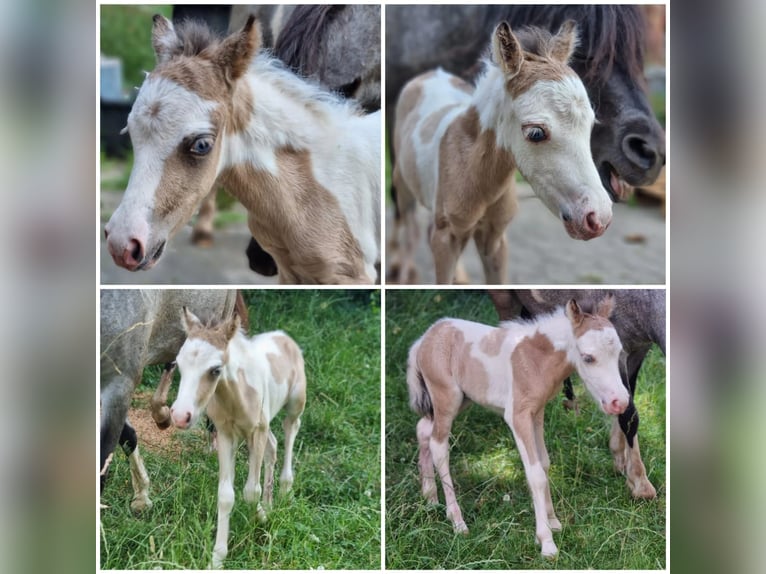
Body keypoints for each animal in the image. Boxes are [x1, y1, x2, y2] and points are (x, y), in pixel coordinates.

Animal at [172, 308, 308, 568]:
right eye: (178, 365)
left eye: (215, 370)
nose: (180, 416)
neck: (234, 397)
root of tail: (284, 336)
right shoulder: (226, 434)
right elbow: (226, 495)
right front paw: (217, 558)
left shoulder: (256, 431)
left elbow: (250, 491)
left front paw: (257, 525)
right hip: (265, 420)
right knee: (273, 445)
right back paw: (269, 504)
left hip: (295, 402)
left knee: (290, 428)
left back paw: (284, 491)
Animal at [392, 22, 616, 286]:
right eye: (536, 133)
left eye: (590, 125)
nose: (598, 218)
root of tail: (432, 74)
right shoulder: (447, 238)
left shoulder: (495, 239)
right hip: (403, 185)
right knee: (409, 229)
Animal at [408, 296, 632, 560]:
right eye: (588, 357)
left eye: (618, 353)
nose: (620, 402)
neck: (535, 359)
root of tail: (424, 339)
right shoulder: (517, 415)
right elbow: (535, 474)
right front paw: (546, 542)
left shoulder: (537, 412)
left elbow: (544, 463)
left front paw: (553, 522)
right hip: (447, 398)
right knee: (439, 445)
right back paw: (457, 522)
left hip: (461, 399)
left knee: (423, 429)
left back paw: (430, 498)